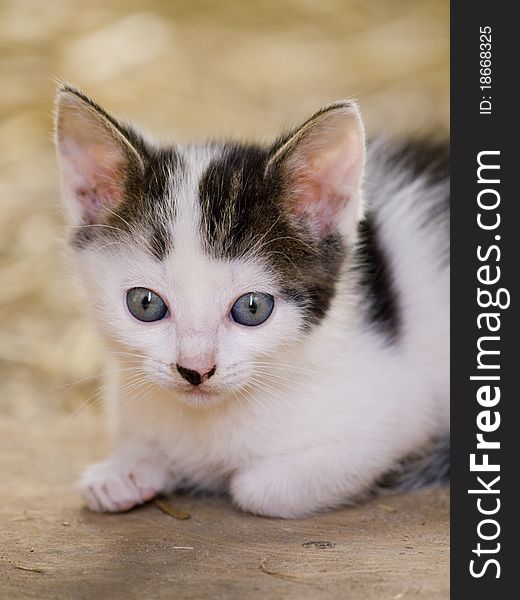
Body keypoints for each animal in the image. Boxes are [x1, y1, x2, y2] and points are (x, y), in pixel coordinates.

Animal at [54, 85, 448, 520]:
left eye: (253, 308)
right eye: (145, 304)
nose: (195, 369)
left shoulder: (400, 412)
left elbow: (255, 488)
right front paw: (126, 471)